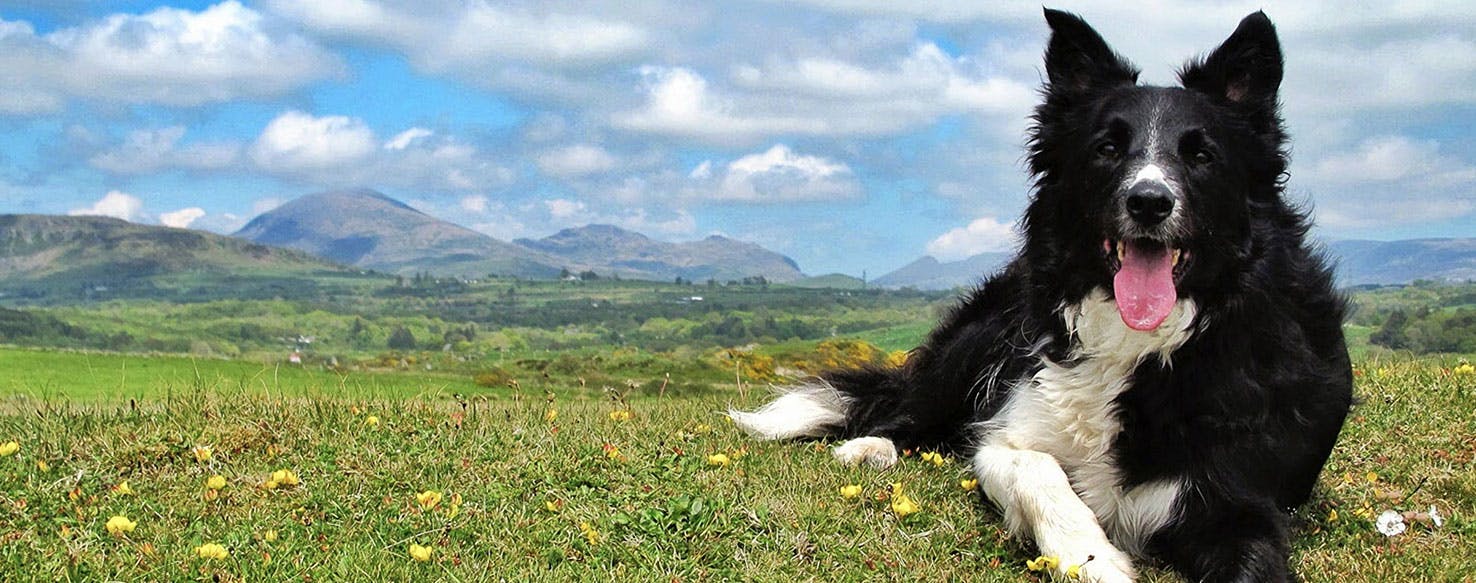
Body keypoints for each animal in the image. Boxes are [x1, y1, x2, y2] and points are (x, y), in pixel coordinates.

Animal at [726, 9, 1352, 583]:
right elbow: (1037, 469)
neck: (1135, 347)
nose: (1149, 202)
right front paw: (1090, 557)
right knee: (909, 412)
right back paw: (871, 447)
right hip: (979, 340)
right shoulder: (1003, 435)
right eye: (1107, 148)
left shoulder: (1240, 504)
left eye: (1201, 155)